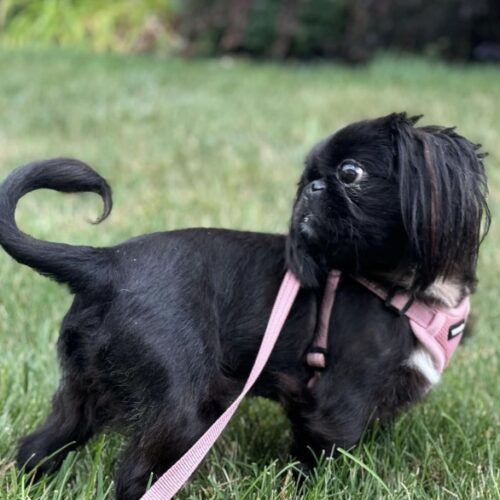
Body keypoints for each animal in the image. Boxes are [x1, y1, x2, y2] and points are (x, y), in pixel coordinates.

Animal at [0, 111, 488, 498]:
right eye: (311, 175)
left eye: (350, 173)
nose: (311, 187)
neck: (402, 288)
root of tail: (106, 263)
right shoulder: (335, 405)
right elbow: (321, 461)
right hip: (179, 411)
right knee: (135, 475)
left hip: (84, 393)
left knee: (39, 447)